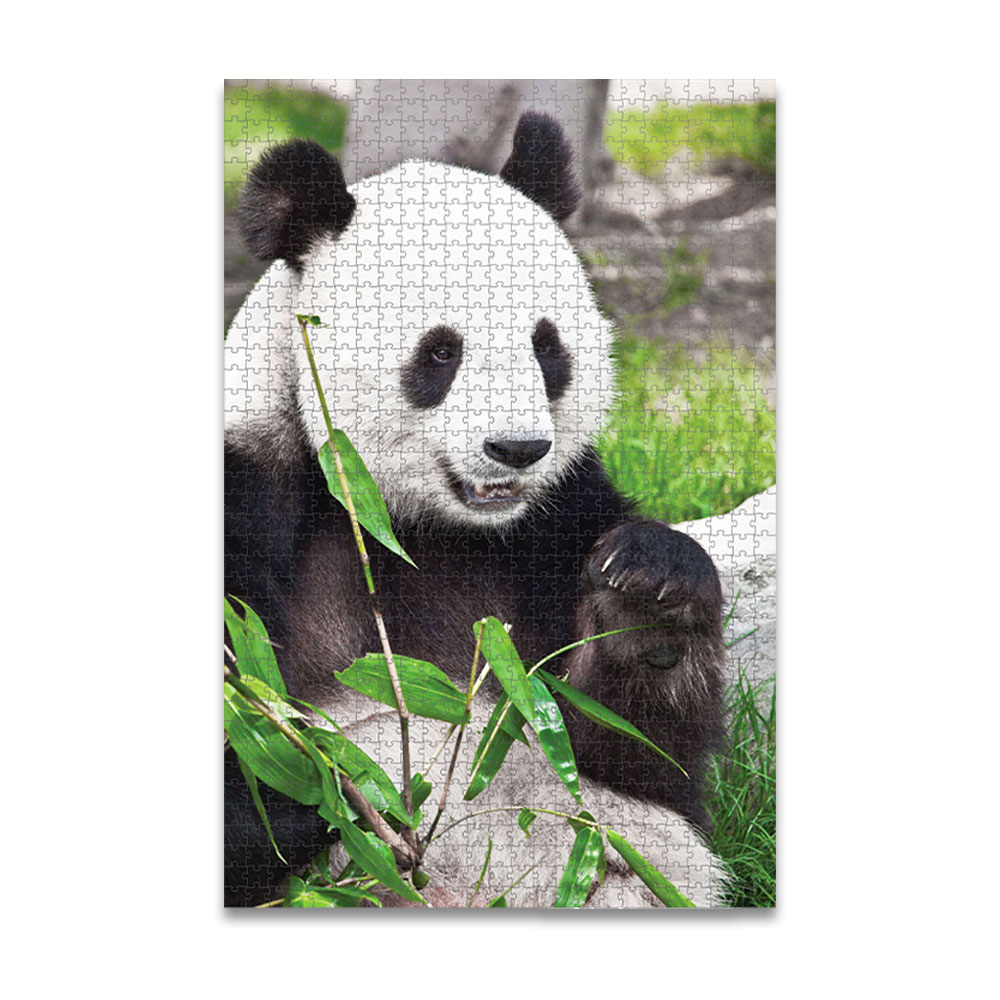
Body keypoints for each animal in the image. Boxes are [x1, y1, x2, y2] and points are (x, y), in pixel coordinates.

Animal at [224, 112, 728, 907]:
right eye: (440, 352)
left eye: (546, 346)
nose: (517, 448)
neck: (410, 523)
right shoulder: (252, 494)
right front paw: (315, 789)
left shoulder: (559, 515)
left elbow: (633, 755)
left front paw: (649, 598)